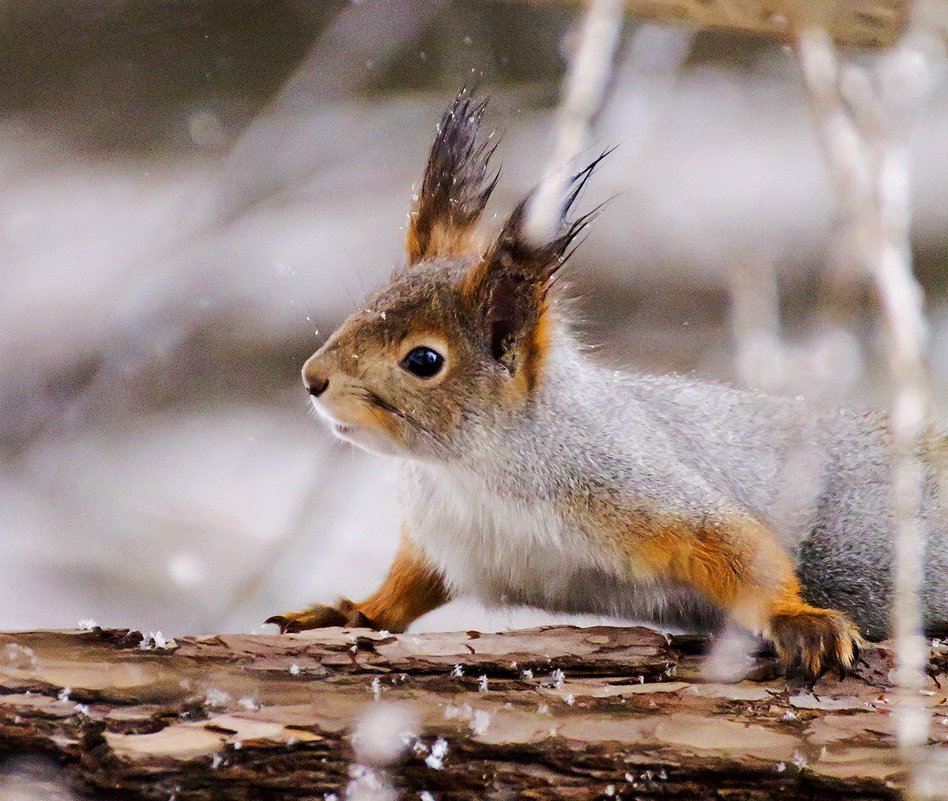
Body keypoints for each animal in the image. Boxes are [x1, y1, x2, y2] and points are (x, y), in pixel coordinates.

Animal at [264, 87, 948, 680]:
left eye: (424, 360)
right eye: (363, 306)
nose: (312, 378)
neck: (469, 471)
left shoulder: (627, 484)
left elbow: (738, 548)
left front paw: (799, 620)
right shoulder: (445, 539)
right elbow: (410, 585)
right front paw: (352, 611)